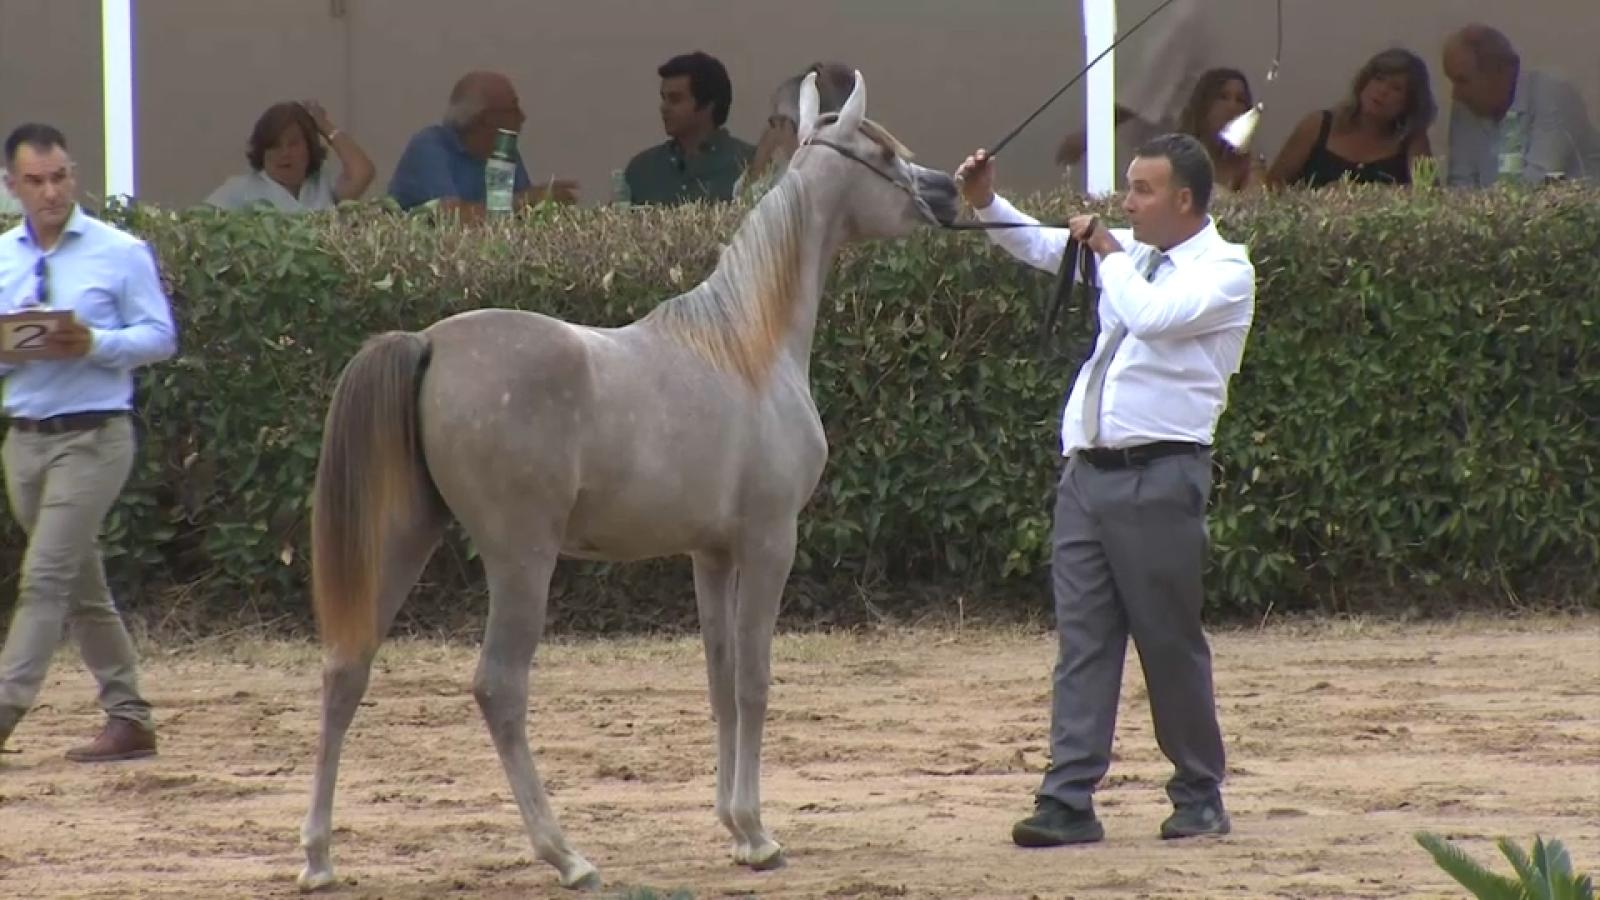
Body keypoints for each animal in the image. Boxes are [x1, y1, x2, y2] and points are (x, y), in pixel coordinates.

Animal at [297, 71, 960, 893]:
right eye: (884, 153)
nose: (950, 193)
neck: (747, 345)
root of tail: (427, 343)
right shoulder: (770, 542)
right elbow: (754, 679)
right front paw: (758, 835)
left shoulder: (712, 554)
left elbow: (718, 680)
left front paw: (732, 825)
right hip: (522, 559)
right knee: (498, 686)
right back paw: (567, 855)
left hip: (404, 541)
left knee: (346, 669)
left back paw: (319, 859)